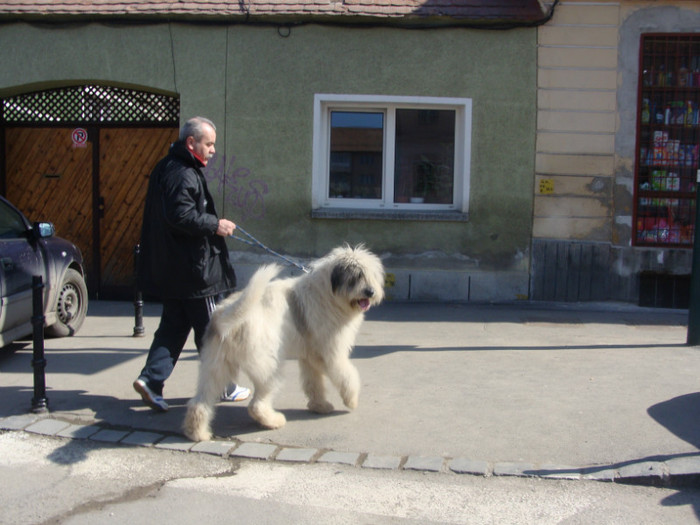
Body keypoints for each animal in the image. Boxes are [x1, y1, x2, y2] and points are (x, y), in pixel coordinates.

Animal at [182, 244, 382, 440]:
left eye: (371, 275)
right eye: (356, 276)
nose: (370, 292)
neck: (329, 293)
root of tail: (227, 315)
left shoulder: (309, 357)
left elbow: (314, 383)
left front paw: (320, 406)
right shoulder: (331, 354)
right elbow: (347, 375)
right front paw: (351, 400)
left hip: (215, 367)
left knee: (200, 402)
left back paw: (198, 433)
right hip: (269, 369)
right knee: (257, 405)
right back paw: (274, 421)